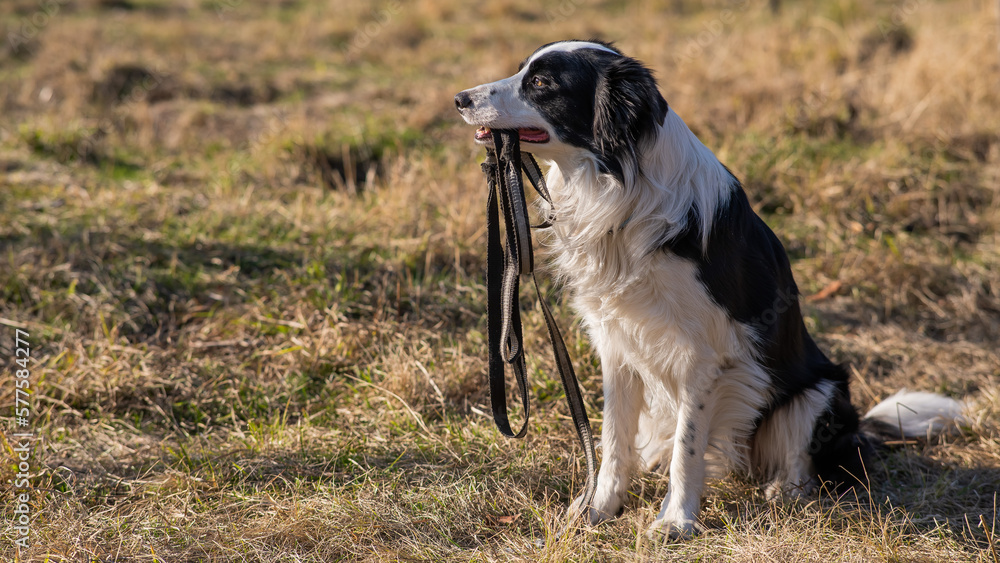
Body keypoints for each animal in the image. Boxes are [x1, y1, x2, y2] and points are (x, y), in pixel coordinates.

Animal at [458, 41, 964, 540]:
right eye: (522, 70)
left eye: (542, 83)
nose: (460, 99)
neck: (621, 189)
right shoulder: (616, 343)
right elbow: (613, 440)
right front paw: (598, 510)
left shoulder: (701, 356)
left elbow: (688, 446)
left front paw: (676, 521)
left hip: (819, 391)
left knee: (802, 461)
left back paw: (784, 492)